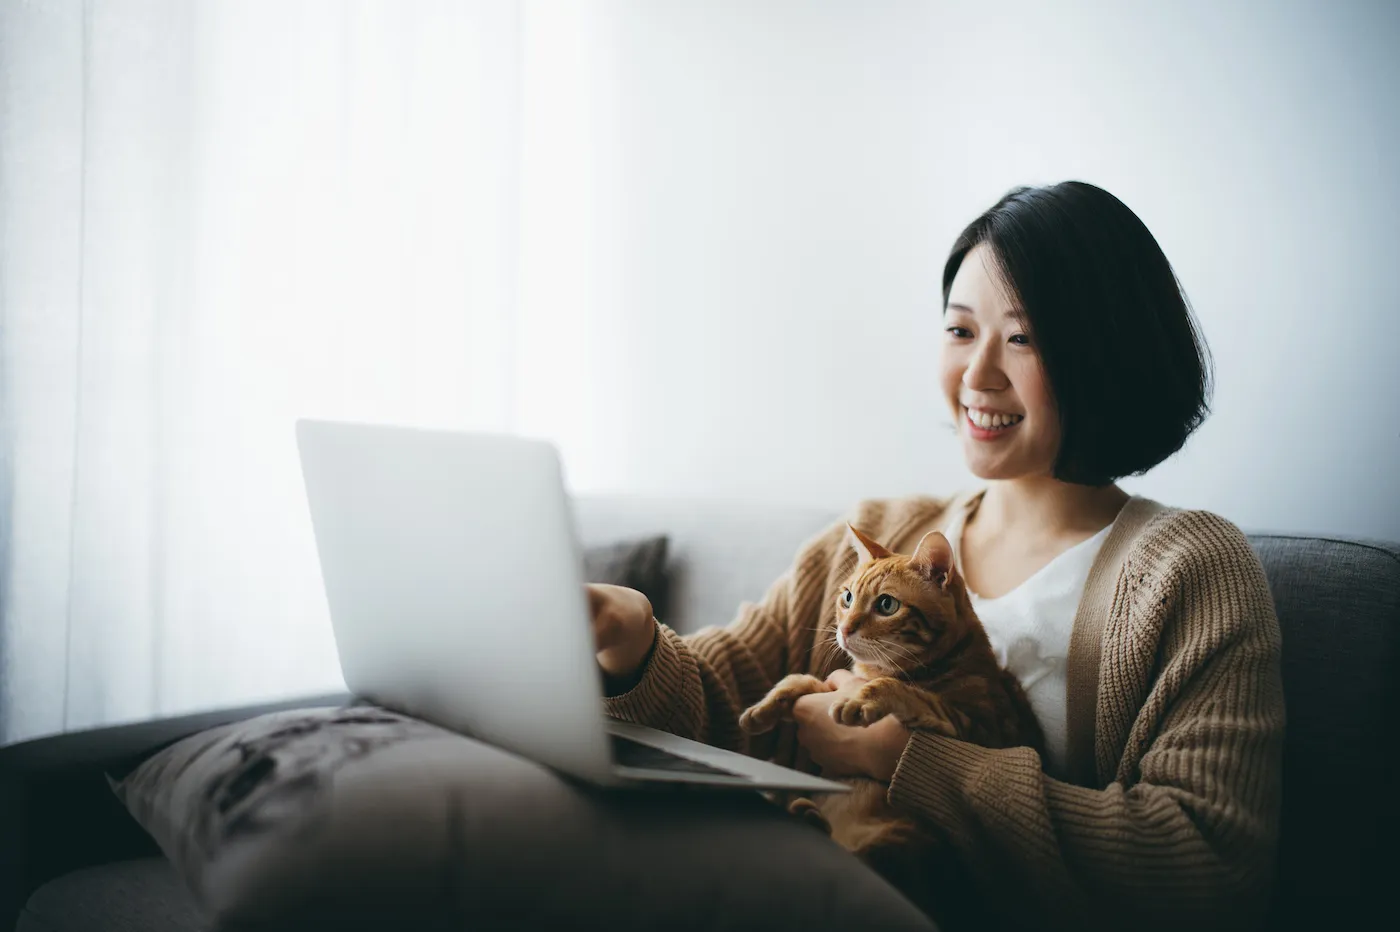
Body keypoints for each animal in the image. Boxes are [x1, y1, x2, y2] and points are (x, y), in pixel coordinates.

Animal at [739, 523, 1047, 906]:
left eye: (886, 605)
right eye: (847, 598)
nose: (844, 629)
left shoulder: (983, 730)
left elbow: (903, 691)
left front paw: (863, 698)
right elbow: (803, 679)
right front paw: (763, 707)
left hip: (906, 840)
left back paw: (810, 819)